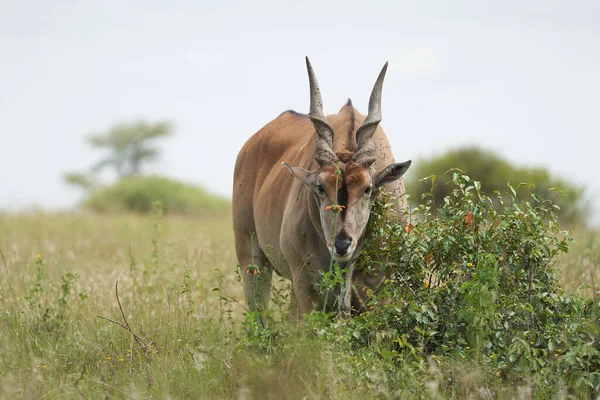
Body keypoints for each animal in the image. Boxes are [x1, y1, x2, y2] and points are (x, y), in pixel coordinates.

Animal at [232, 57, 410, 316]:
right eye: (320, 187)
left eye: (368, 189)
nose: (341, 244)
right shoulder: (306, 286)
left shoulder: (378, 288)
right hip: (251, 257)